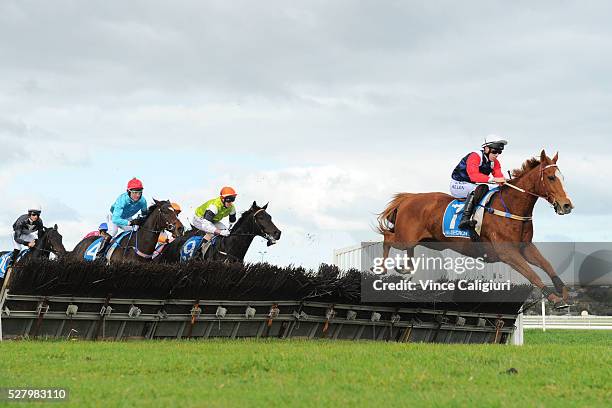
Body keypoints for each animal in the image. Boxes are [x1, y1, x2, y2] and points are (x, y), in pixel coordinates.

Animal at [378, 150, 572, 306]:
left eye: (563, 178)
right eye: (551, 177)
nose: (567, 205)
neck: (511, 207)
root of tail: (408, 198)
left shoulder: (525, 247)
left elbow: (547, 265)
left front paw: (563, 291)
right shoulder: (507, 253)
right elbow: (533, 275)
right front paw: (555, 299)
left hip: (429, 240)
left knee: (407, 247)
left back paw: (405, 267)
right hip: (405, 237)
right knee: (387, 238)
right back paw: (381, 268)